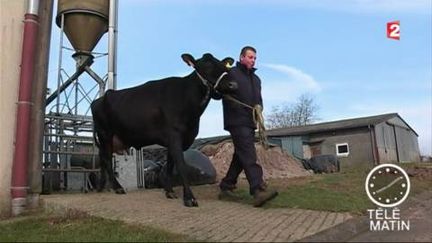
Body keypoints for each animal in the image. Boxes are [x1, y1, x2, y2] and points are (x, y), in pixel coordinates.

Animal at [90, 53, 236, 207]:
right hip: (105, 133)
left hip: (108, 138)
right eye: (206, 66)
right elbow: (180, 165)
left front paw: (170, 191)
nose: (233, 85)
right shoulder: (174, 135)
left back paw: (101, 186)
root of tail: (98, 100)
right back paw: (117, 187)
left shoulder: (175, 139)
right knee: (106, 158)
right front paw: (189, 198)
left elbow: (170, 165)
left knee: (102, 157)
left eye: (224, 66)